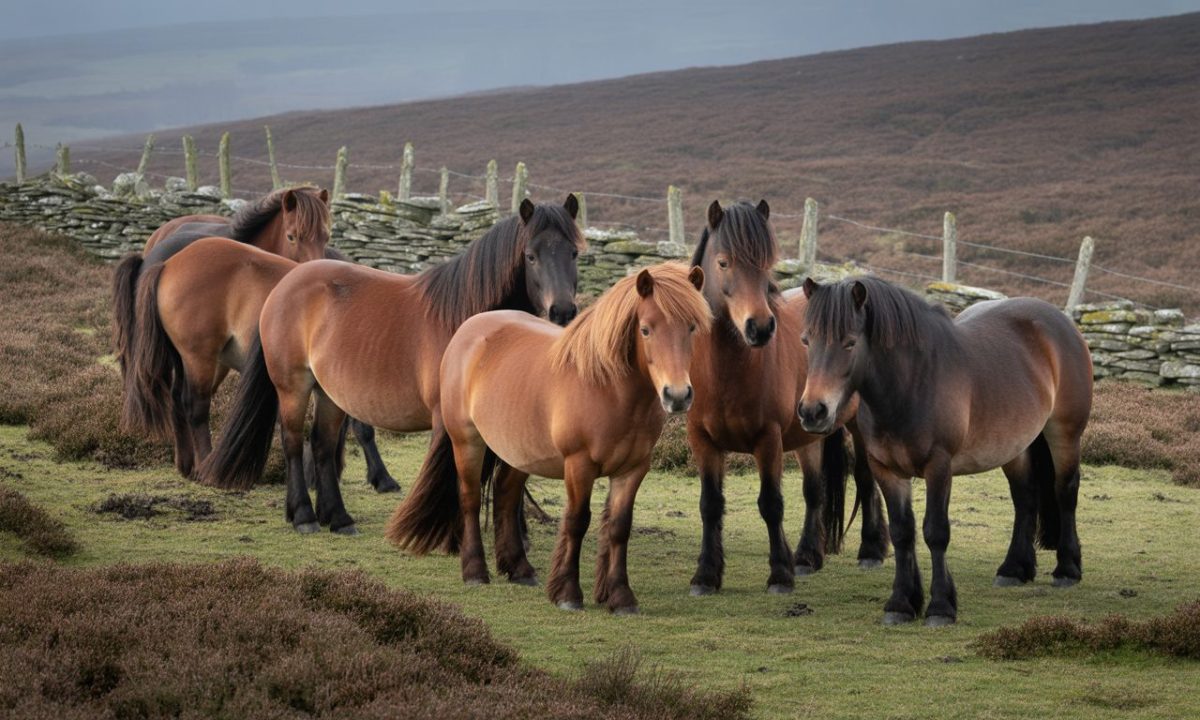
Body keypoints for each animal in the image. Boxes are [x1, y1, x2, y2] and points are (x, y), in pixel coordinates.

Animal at [198, 196, 585, 536]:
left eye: (575, 252)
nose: (563, 311)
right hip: (293, 386)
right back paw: (305, 516)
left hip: (330, 394)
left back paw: (337, 518)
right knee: (293, 441)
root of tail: (284, 284)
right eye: (530, 256)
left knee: (322, 445)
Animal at [388, 263, 711, 614]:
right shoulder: (579, 465)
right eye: (646, 329)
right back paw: (475, 571)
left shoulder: (633, 470)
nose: (677, 396)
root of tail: (469, 329)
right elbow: (577, 521)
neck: (608, 388)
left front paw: (621, 597)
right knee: (470, 498)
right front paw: (568, 593)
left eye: (692, 327)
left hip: (519, 451)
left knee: (505, 494)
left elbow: (619, 528)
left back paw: (520, 570)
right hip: (467, 441)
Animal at [685, 200, 888, 596]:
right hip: (810, 436)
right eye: (723, 262)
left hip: (857, 426)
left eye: (767, 263)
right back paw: (808, 556)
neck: (725, 373)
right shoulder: (703, 441)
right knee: (815, 491)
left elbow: (771, 504)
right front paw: (706, 575)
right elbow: (709, 505)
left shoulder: (769, 440)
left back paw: (872, 550)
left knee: (864, 476)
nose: (761, 328)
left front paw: (780, 575)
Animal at [797, 276, 1092, 626]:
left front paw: (940, 607)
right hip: (1014, 447)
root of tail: (1062, 322)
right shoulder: (886, 469)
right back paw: (1013, 569)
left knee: (1065, 492)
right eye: (806, 340)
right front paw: (901, 603)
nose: (813, 411)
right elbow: (902, 532)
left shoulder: (939, 467)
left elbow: (935, 532)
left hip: (1065, 435)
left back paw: (1067, 570)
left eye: (849, 342)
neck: (911, 385)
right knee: (1025, 497)